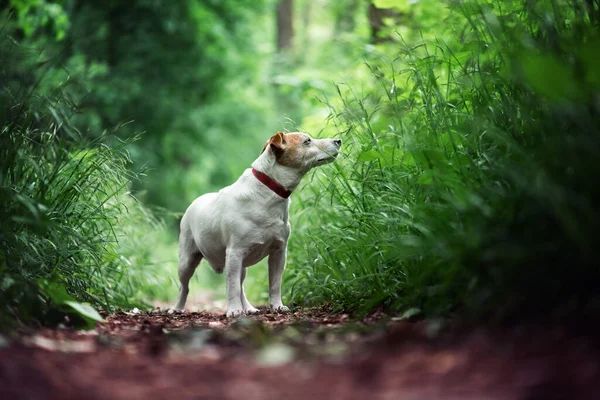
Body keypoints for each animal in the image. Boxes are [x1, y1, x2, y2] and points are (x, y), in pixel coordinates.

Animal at [175, 131, 342, 316]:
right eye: (307, 141)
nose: (339, 140)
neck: (269, 192)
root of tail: (193, 204)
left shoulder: (279, 252)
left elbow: (274, 284)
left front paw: (277, 306)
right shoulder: (234, 253)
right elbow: (232, 287)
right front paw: (234, 310)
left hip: (241, 266)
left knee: (241, 286)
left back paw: (249, 308)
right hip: (187, 261)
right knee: (184, 287)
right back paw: (177, 309)